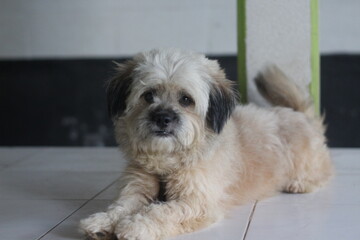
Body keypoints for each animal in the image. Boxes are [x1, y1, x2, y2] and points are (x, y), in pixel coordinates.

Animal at [80, 48, 334, 240]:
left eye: (186, 99)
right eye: (148, 95)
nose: (162, 118)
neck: (167, 162)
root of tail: (301, 115)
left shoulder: (197, 201)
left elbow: (161, 211)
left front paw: (136, 225)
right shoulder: (136, 188)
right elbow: (121, 206)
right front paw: (103, 220)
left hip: (307, 164)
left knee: (324, 176)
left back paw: (300, 183)